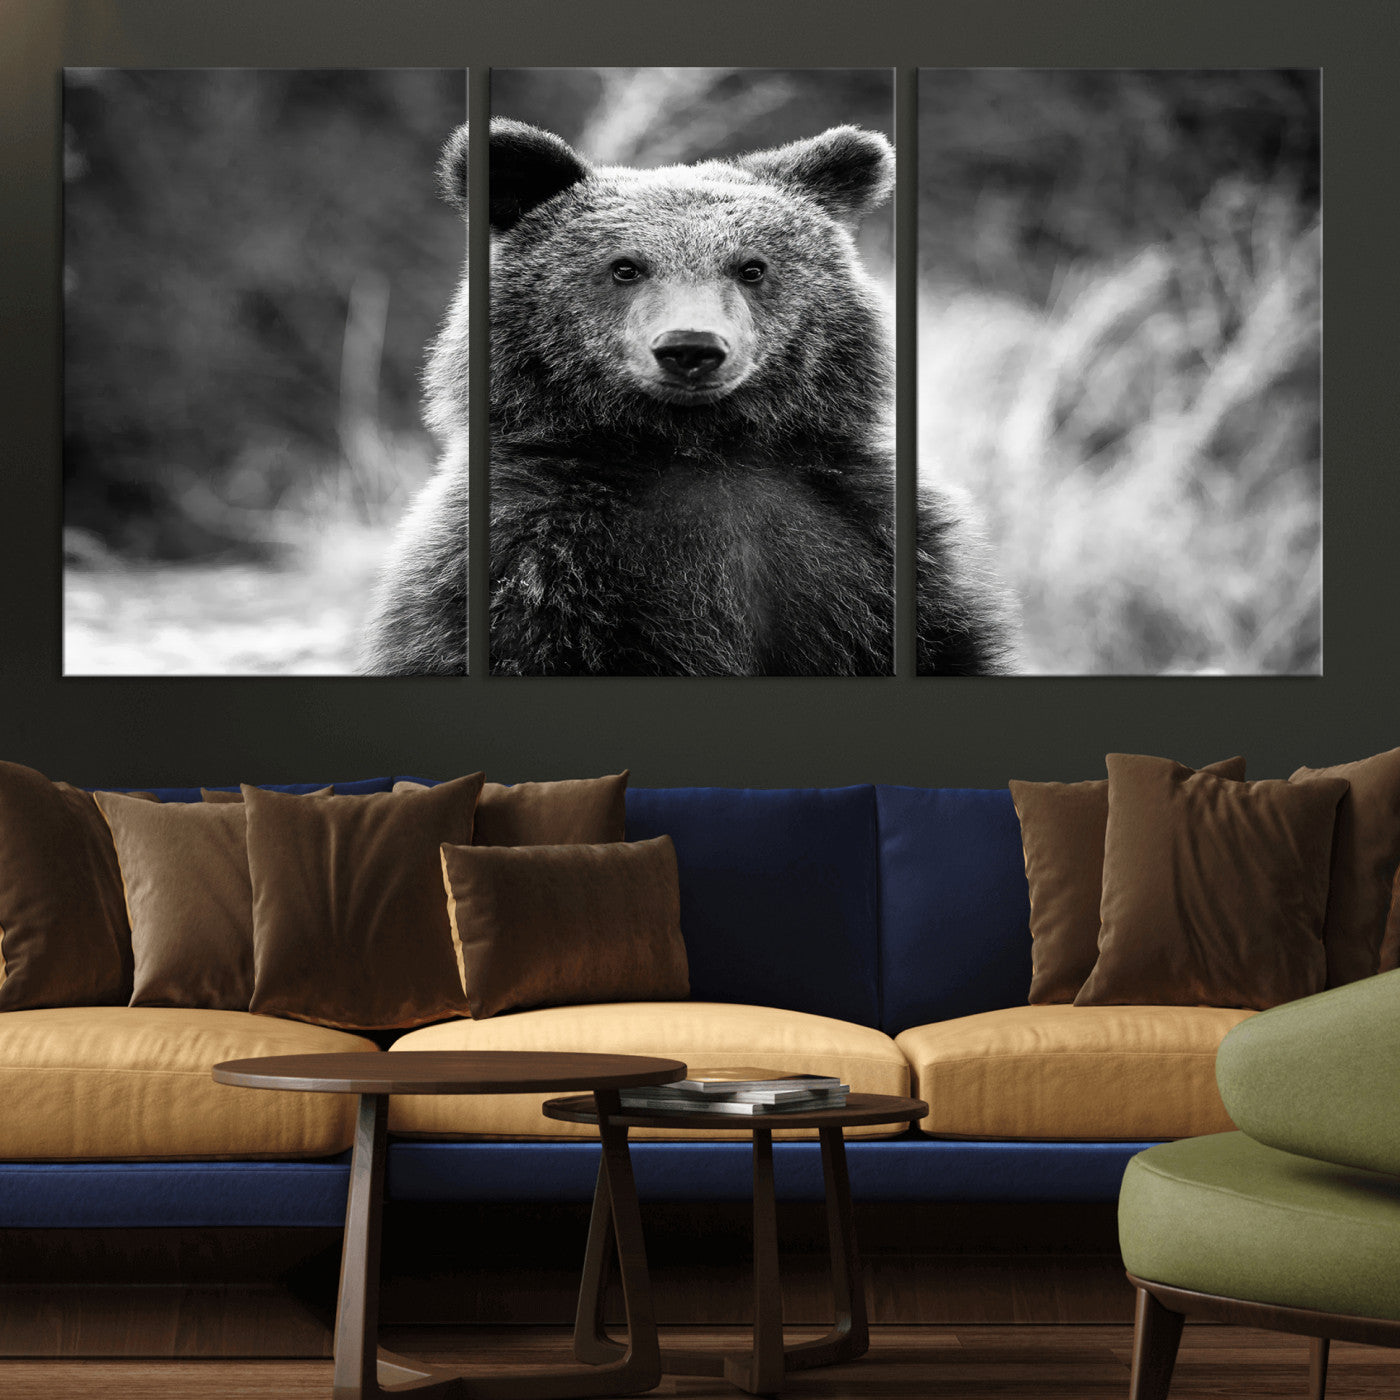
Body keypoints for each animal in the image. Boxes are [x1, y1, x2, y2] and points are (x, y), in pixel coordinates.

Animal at [360, 118, 1017, 676]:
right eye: (625, 267)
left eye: (751, 267)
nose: (691, 347)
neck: (697, 447)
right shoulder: (531, 559)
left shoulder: (867, 545)